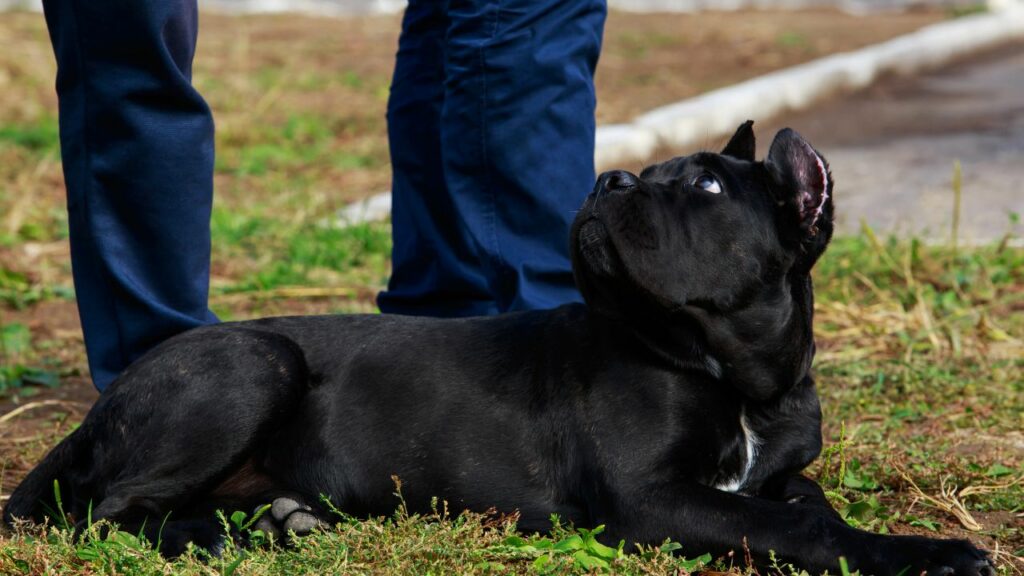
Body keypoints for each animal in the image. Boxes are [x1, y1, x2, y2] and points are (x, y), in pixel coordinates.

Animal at [6, 121, 991, 573]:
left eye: (707, 185)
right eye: (651, 176)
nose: (611, 177)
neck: (730, 371)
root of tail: (108, 399)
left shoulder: (770, 469)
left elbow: (803, 501)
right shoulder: (648, 500)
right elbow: (793, 526)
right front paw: (931, 551)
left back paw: (279, 521)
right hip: (254, 364)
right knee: (114, 509)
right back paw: (223, 539)